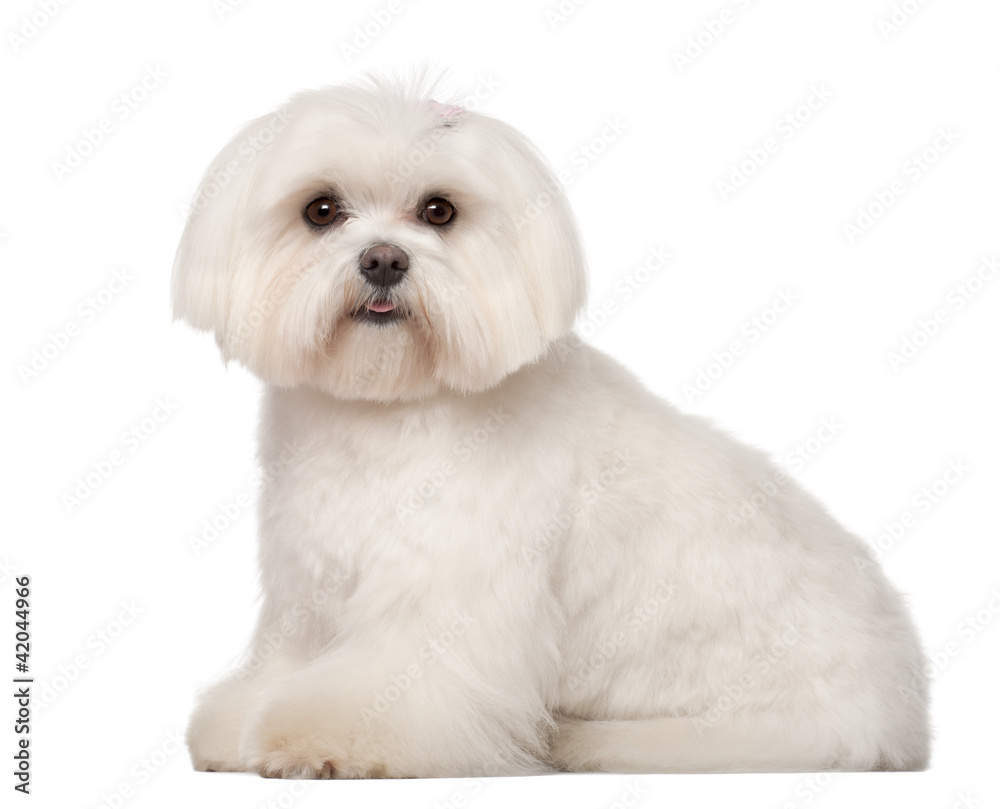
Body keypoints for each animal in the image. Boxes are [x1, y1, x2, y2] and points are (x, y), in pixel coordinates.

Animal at [172, 74, 928, 776]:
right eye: (321, 210)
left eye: (439, 210)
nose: (384, 259)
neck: (393, 408)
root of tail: (901, 710)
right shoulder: (309, 588)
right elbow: (286, 666)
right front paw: (238, 725)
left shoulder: (443, 601)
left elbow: (385, 684)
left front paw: (315, 742)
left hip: (754, 727)